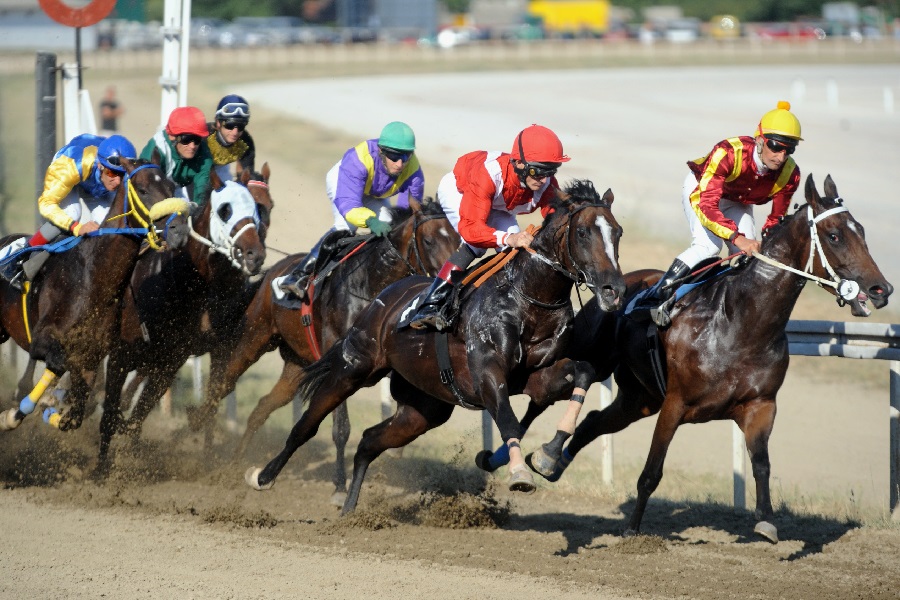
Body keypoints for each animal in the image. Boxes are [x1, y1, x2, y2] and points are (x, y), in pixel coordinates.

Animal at [0, 159, 192, 432]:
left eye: (171, 187)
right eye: (143, 190)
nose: (179, 230)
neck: (93, 281)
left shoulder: (92, 357)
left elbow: (74, 415)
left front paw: (48, 407)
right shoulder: (42, 339)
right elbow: (59, 364)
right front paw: (24, 410)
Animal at [96, 166, 270, 472]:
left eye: (258, 209)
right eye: (225, 210)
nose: (254, 255)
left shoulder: (204, 351)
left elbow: (212, 397)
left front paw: (207, 456)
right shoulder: (126, 352)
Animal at [187, 199, 460, 504]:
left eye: (458, 239)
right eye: (428, 240)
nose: (452, 282)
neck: (371, 284)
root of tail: (274, 269)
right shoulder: (344, 365)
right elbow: (341, 428)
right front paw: (340, 486)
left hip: (296, 366)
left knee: (262, 407)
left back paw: (235, 462)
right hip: (255, 336)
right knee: (224, 383)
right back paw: (198, 426)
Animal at [243, 180, 628, 512]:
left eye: (618, 233)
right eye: (583, 232)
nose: (614, 290)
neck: (528, 299)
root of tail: (383, 298)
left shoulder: (536, 376)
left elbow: (581, 372)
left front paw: (547, 455)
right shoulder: (487, 374)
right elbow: (507, 418)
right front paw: (519, 472)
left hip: (424, 408)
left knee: (369, 440)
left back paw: (350, 509)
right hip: (353, 367)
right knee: (308, 425)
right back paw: (261, 475)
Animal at [524, 175, 888, 544]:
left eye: (862, 231)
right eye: (835, 235)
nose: (881, 289)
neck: (740, 323)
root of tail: (613, 287)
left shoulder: (761, 405)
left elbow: (761, 464)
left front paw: (767, 522)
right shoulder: (675, 403)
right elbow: (651, 473)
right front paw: (632, 529)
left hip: (640, 399)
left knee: (594, 421)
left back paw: (553, 464)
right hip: (587, 364)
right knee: (545, 391)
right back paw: (540, 457)